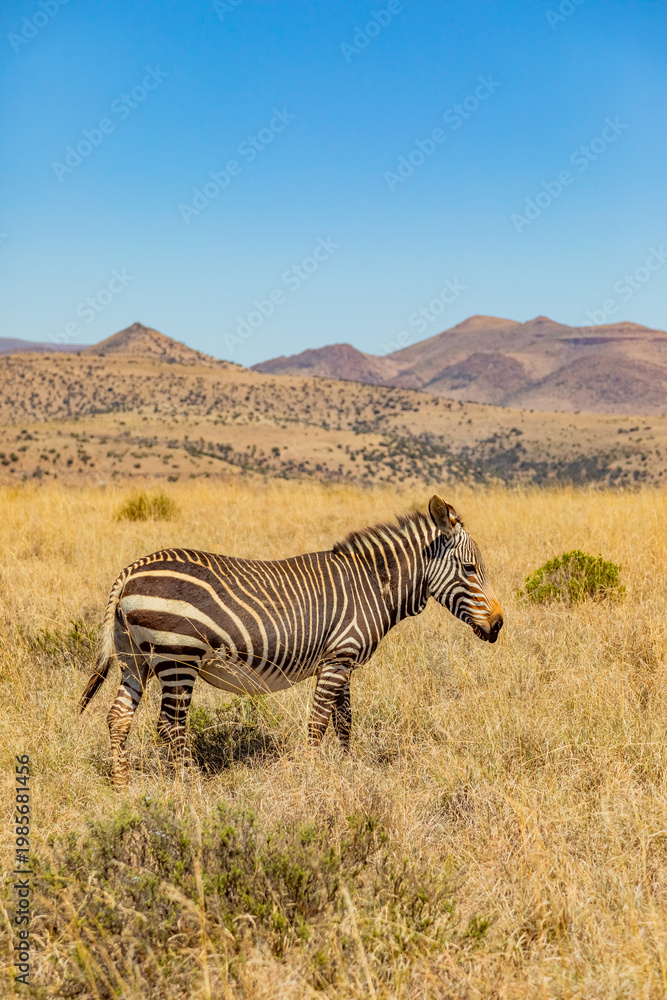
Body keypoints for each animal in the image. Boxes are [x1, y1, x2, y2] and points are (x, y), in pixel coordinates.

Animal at [80, 494, 503, 784]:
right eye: (470, 569)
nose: (499, 624)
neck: (372, 586)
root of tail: (131, 570)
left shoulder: (341, 660)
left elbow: (344, 722)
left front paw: (345, 769)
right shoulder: (338, 658)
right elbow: (318, 723)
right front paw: (313, 776)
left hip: (135, 659)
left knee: (119, 717)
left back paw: (121, 784)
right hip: (177, 657)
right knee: (170, 725)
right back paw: (191, 784)